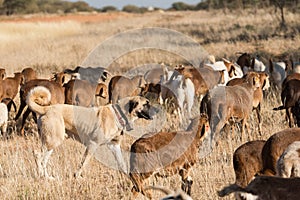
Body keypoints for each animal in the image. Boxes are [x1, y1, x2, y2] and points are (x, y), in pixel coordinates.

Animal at [26, 85, 154, 179]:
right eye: (146, 104)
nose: (156, 111)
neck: (119, 113)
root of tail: (46, 108)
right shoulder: (93, 144)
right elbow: (84, 162)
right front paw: (77, 176)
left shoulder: (114, 146)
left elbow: (121, 163)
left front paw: (129, 178)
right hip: (53, 140)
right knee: (37, 155)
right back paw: (41, 176)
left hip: (51, 142)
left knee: (44, 160)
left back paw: (47, 177)